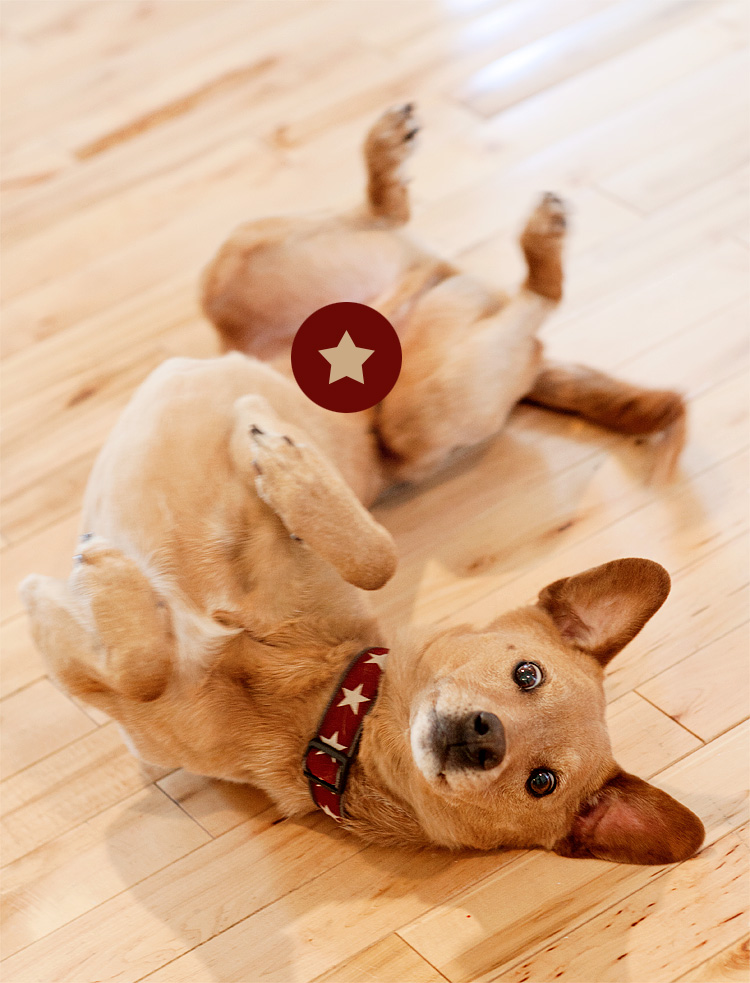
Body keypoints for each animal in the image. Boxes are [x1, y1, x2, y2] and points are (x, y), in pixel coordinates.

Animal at [20, 106, 703, 865]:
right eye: (528, 673)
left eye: (542, 781)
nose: (484, 735)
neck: (316, 701)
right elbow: (369, 557)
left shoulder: (93, 677)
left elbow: (145, 657)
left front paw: (102, 567)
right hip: (239, 271)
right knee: (391, 226)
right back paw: (401, 171)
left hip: (420, 422)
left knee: (532, 303)